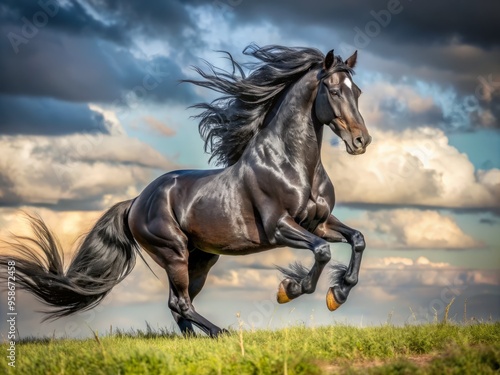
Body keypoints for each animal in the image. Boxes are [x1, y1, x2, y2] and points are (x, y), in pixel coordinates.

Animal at [0, 44, 372, 338]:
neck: (291, 164)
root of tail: (136, 201)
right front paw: (291, 289)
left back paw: (196, 339)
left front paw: (338, 294)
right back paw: (221, 333)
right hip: (173, 252)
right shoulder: (279, 226)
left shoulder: (318, 223)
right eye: (334, 90)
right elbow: (322, 252)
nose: (361, 141)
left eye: (357, 92)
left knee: (180, 304)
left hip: (202, 258)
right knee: (180, 302)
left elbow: (356, 239)